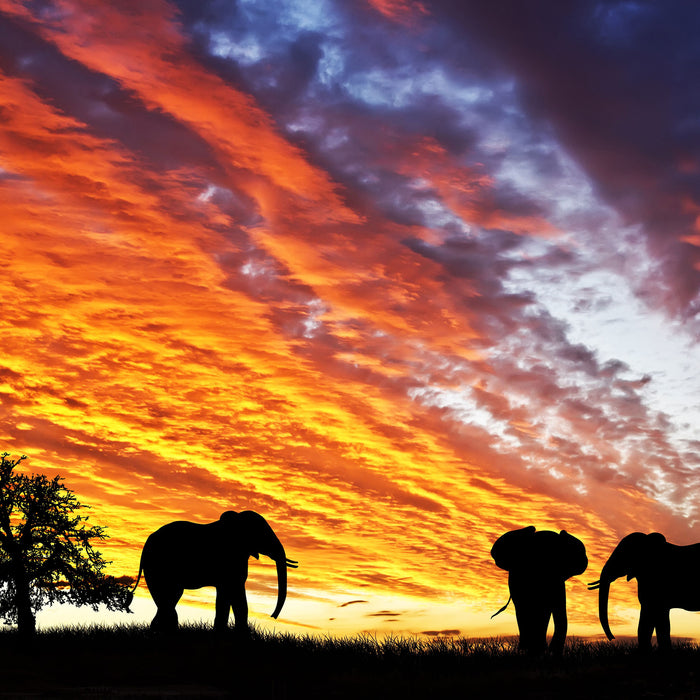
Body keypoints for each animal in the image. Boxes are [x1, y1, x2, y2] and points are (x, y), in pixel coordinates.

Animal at [127, 512, 296, 632]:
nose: (272, 616)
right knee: (168, 596)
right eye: (262, 533)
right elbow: (236, 594)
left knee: (169, 597)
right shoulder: (229, 560)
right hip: (158, 566)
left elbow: (226, 595)